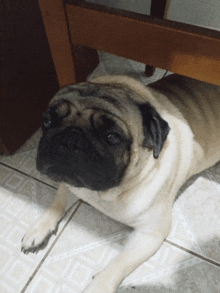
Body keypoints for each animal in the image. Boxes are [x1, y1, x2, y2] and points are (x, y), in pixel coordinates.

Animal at [20, 74, 220, 292]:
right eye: (47, 121)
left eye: (112, 137)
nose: (70, 139)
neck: (105, 193)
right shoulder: (70, 185)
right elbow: (56, 204)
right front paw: (39, 228)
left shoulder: (150, 233)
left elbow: (118, 264)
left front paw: (97, 287)